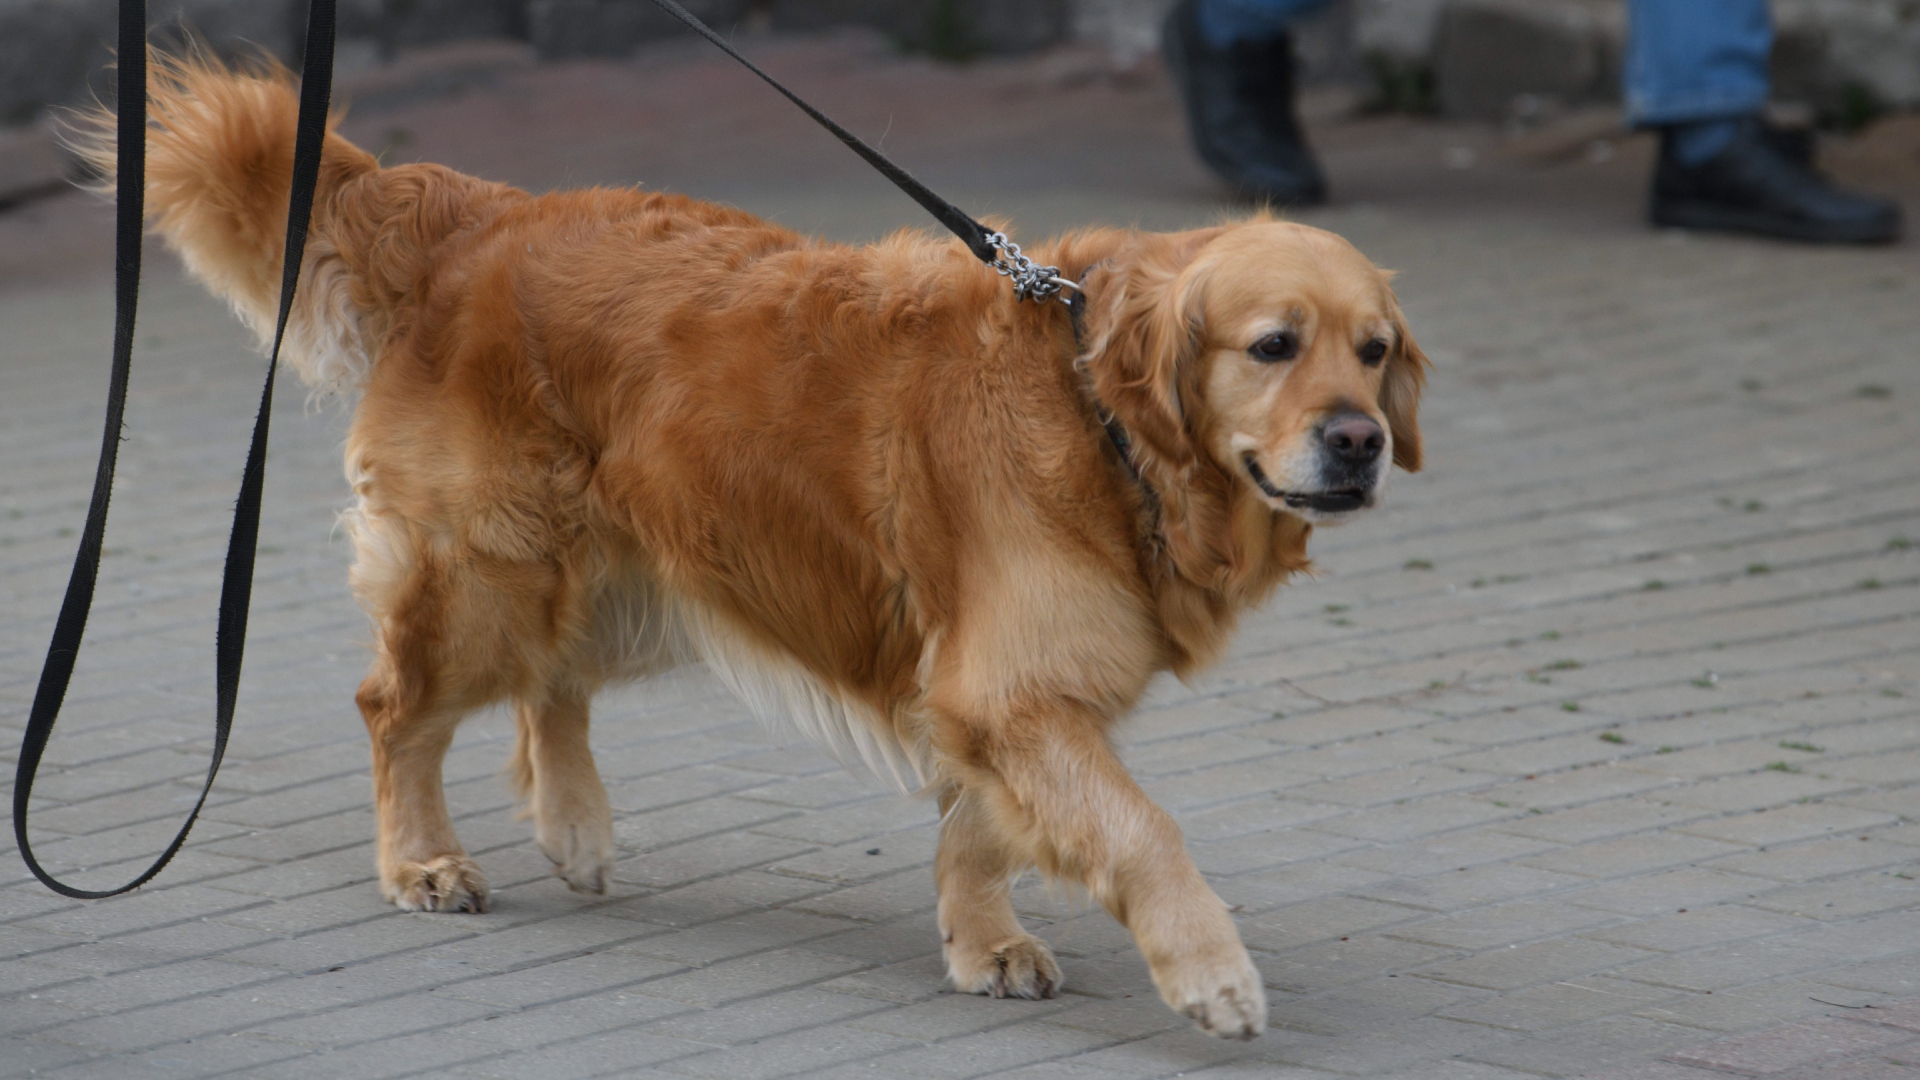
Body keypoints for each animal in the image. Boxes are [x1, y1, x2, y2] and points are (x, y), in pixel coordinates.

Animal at [76, 52, 1426, 1039]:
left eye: (1372, 352)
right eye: (1272, 345)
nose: (1360, 444)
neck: (1100, 413)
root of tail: (481, 218)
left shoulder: (992, 692)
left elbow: (980, 824)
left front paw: (982, 942)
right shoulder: (1008, 686)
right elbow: (1142, 829)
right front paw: (1210, 970)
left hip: (634, 568)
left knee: (552, 685)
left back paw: (573, 823)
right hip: (489, 573)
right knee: (397, 708)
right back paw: (422, 860)